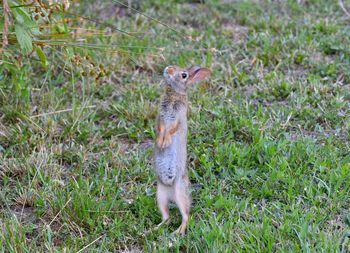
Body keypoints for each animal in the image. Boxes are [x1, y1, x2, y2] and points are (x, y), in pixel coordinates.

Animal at [155, 64, 211, 234]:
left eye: (184, 75)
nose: (167, 69)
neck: (174, 93)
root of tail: (171, 194)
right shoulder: (161, 117)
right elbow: (161, 128)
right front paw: (159, 142)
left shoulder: (178, 117)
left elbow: (172, 129)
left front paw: (165, 142)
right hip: (160, 195)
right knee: (166, 216)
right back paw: (156, 229)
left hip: (179, 191)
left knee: (186, 215)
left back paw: (178, 232)